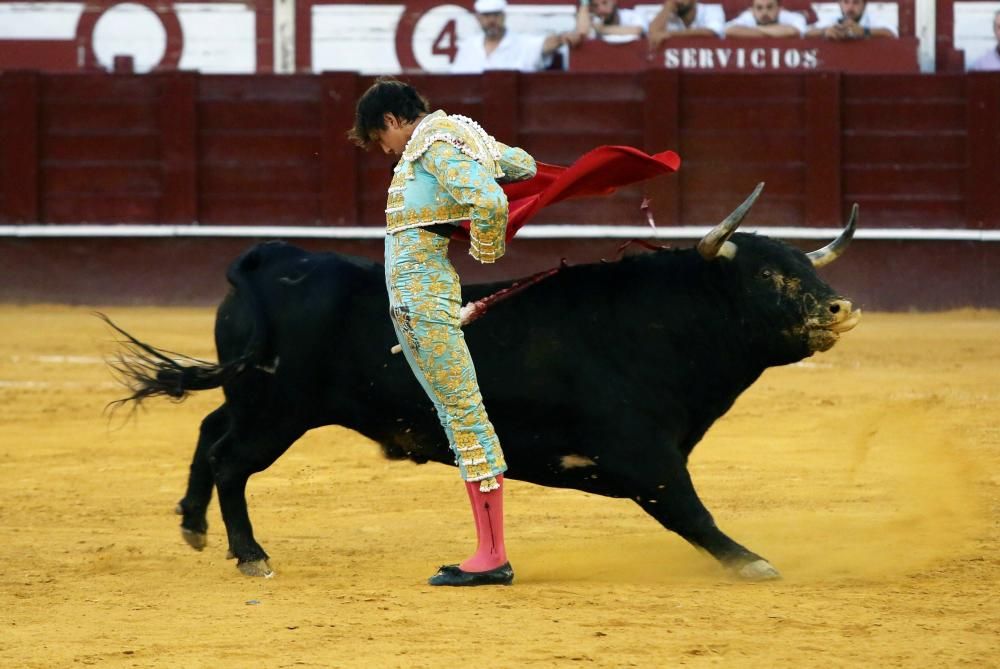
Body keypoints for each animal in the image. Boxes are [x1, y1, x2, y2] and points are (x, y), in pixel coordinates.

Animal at [107, 184, 860, 580]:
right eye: (770, 275)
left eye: (808, 265)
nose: (838, 308)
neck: (666, 321)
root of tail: (272, 257)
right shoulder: (642, 454)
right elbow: (692, 510)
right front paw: (752, 562)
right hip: (277, 411)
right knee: (231, 460)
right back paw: (250, 554)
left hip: (254, 398)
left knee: (210, 432)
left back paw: (193, 525)